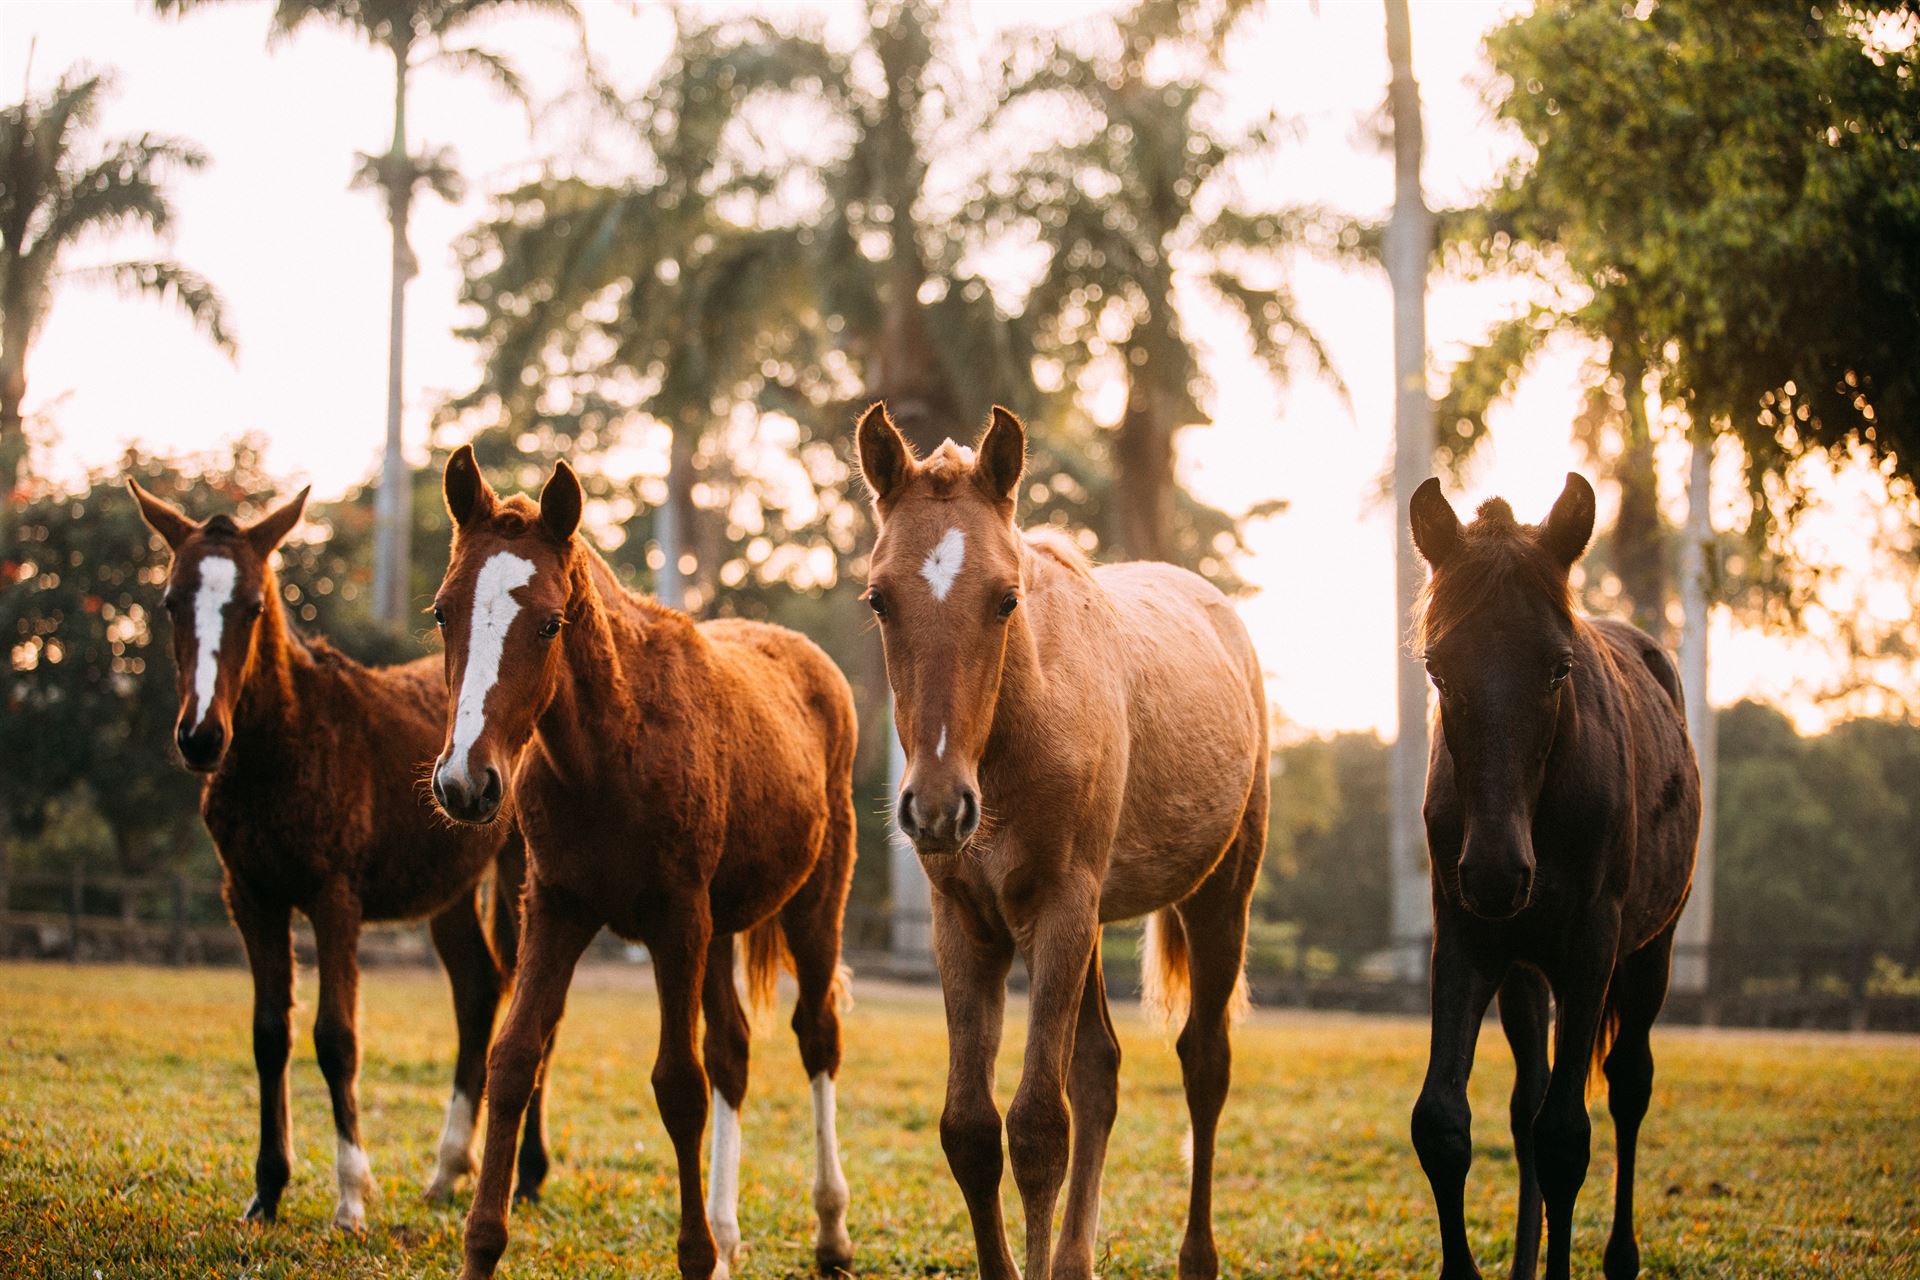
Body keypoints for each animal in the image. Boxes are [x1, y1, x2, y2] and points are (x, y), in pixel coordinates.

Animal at [127, 479, 556, 1228]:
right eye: (171, 601)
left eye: (253, 606)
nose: (201, 737)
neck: (284, 745)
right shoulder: (250, 896)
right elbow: (270, 1033)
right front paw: (268, 1189)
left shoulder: (334, 897)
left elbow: (336, 1037)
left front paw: (351, 1194)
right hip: (448, 887)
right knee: (478, 990)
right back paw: (448, 1170)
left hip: (522, 871)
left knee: (533, 1008)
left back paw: (526, 1173)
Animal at [435, 450, 864, 1280]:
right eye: (443, 612)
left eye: (549, 622)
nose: (466, 783)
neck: (613, 748)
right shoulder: (557, 908)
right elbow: (514, 1059)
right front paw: (481, 1246)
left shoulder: (676, 919)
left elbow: (679, 1083)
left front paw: (695, 1254)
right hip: (721, 926)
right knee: (734, 1050)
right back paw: (730, 1235)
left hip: (812, 903)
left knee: (817, 1035)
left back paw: (829, 1230)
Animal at [864, 402, 1267, 1280]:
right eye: (878, 599)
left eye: (1005, 599)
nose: (937, 809)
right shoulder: (965, 922)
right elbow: (971, 1128)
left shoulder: (1059, 908)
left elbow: (1038, 1129)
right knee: (1100, 1069)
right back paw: (1077, 1259)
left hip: (1217, 896)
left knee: (1205, 1063)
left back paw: (1197, 1256)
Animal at [1413, 475, 1697, 1280]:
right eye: (1438, 668)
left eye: (1558, 668)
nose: (1496, 871)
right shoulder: (1467, 942)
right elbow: (1444, 1123)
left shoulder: (1590, 949)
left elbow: (1568, 1134)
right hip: (1522, 970)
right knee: (1525, 1104)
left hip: (1650, 953)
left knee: (1628, 1087)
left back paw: (1620, 1258)